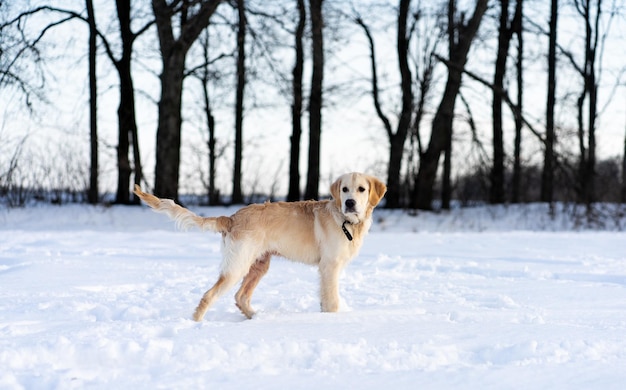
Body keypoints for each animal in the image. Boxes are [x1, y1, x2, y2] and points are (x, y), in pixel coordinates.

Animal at [134, 171, 382, 320]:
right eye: (344, 189)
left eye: (361, 189)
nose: (350, 203)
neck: (346, 221)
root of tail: (231, 217)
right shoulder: (330, 266)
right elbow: (332, 300)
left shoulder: (326, 269)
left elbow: (325, 298)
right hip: (237, 266)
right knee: (209, 295)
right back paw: (195, 324)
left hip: (259, 265)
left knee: (240, 296)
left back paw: (254, 317)